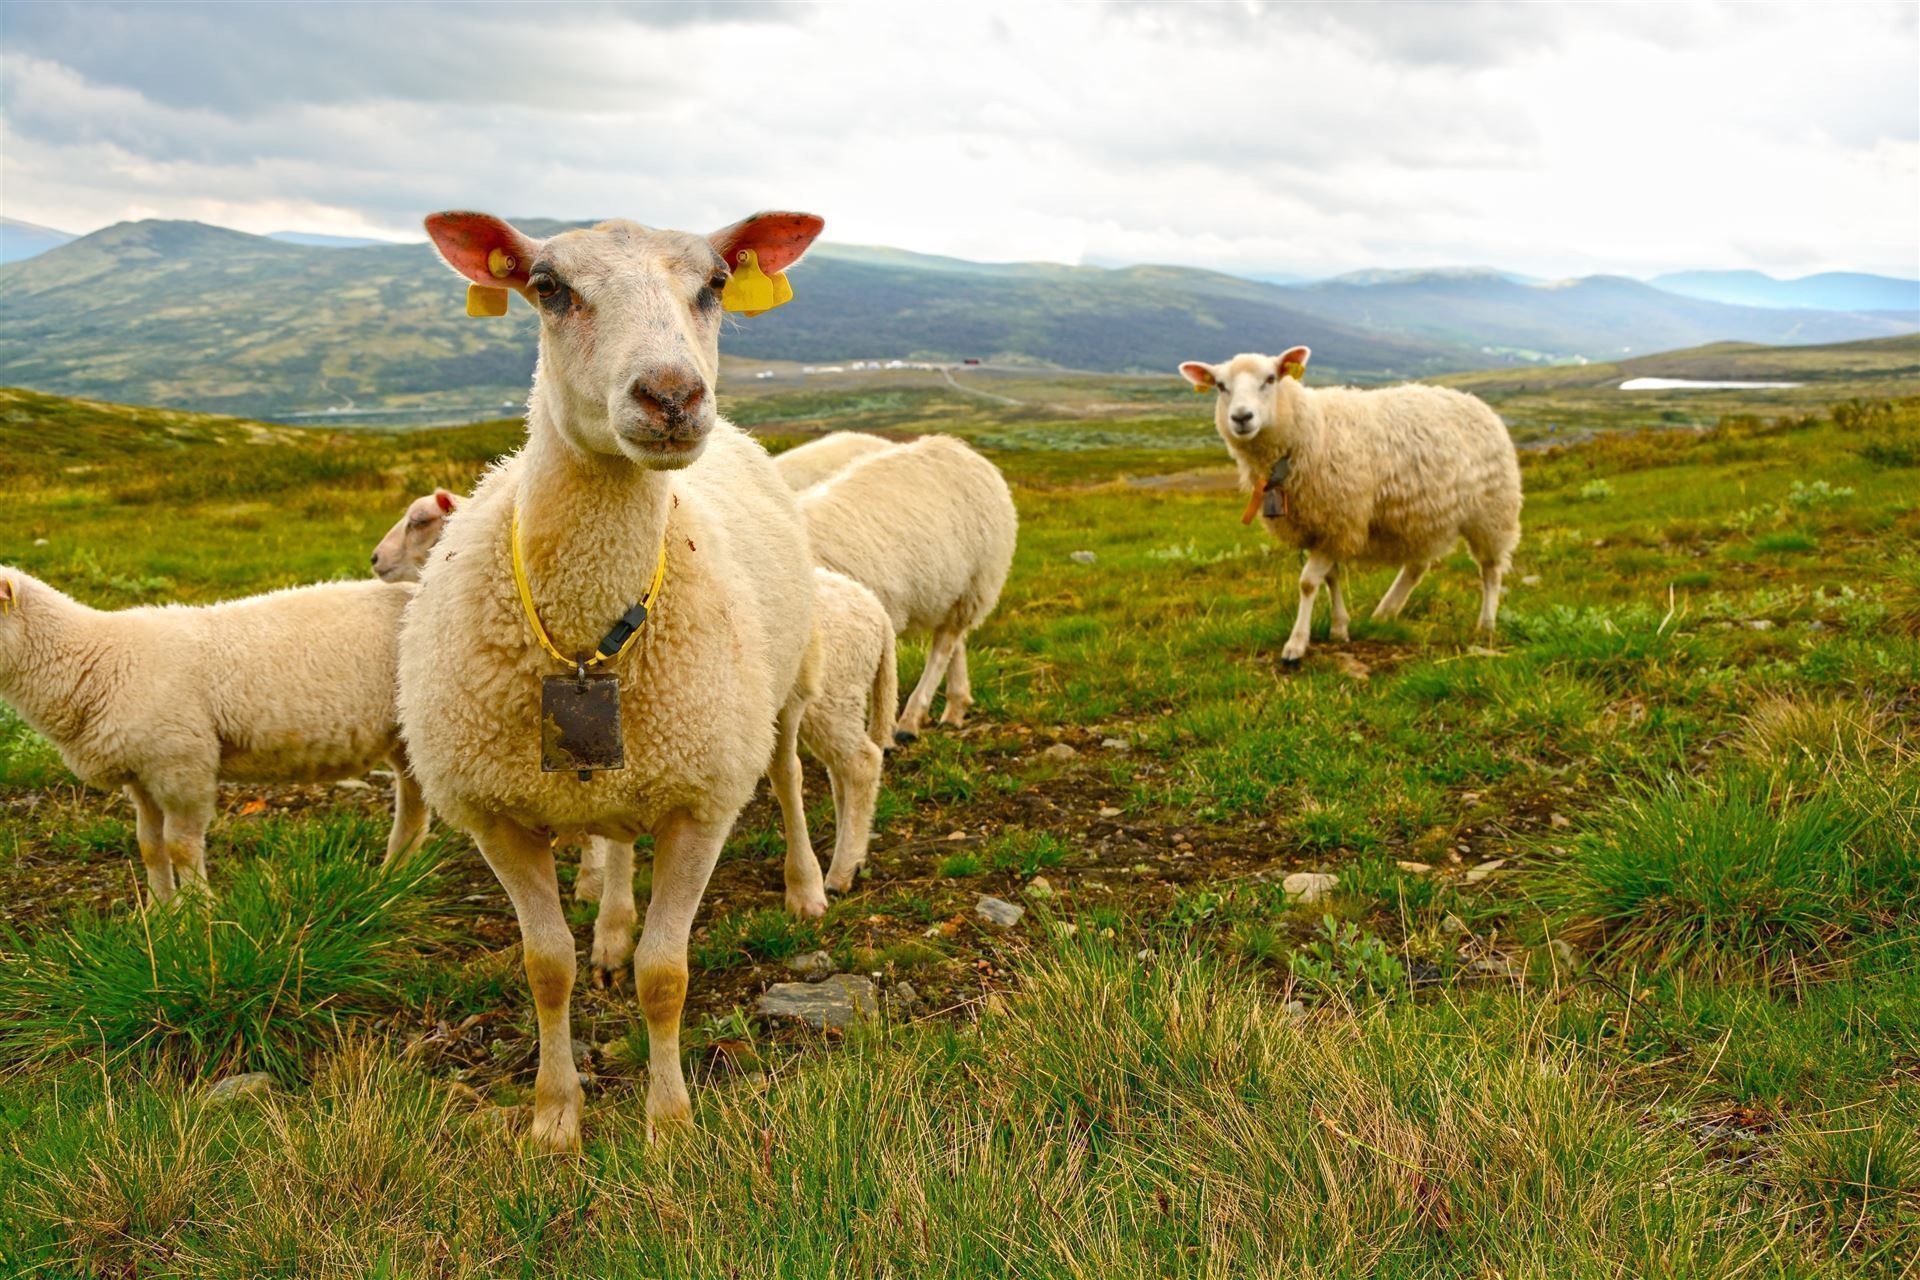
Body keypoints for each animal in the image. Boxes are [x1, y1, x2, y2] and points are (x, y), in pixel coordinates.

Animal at [0, 568, 429, 901]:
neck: (98, 659)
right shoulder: (142, 774)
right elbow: (150, 846)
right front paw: (159, 914)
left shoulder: (182, 765)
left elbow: (180, 847)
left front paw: (198, 916)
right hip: (404, 739)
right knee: (414, 802)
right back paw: (393, 878)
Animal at [400, 208, 825, 1150]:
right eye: (548, 287)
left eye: (715, 284)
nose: (672, 397)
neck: (586, 645)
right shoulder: (496, 818)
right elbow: (544, 967)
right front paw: (555, 1117)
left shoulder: (702, 802)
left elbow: (667, 974)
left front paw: (669, 1121)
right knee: (617, 841)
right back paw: (612, 924)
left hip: (777, 691)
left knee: (786, 773)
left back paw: (807, 884)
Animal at [797, 435, 1018, 738]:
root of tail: (957, 447)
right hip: (951, 590)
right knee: (955, 641)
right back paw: (955, 707)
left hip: (976, 581)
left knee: (943, 647)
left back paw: (910, 720)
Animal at [1178, 346, 1522, 663]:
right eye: (1220, 385)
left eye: (1271, 378)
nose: (1241, 418)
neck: (1308, 430)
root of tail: (1475, 401)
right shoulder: (1320, 526)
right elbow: (1330, 577)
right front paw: (1340, 628)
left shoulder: (1339, 518)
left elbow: (1307, 582)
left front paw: (1296, 644)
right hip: (1424, 515)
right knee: (1417, 567)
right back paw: (1384, 613)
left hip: (1492, 510)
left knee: (1491, 570)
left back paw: (1486, 625)